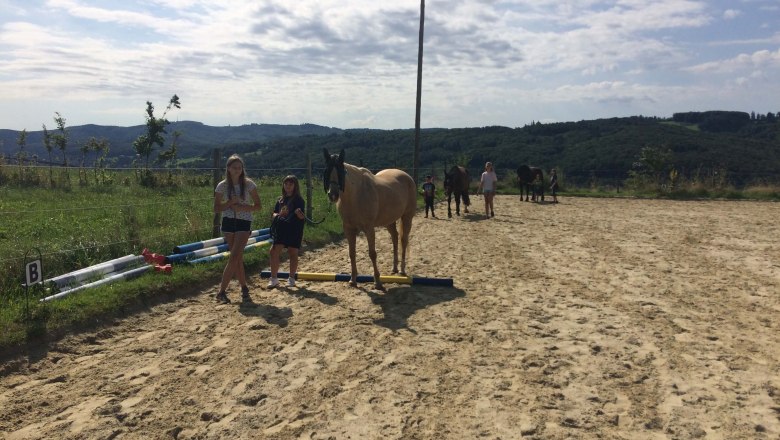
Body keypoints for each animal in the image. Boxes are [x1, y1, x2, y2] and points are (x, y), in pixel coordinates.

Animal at [323, 148, 417, 290]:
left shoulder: (369, 228)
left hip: (407, 217)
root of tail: (407, 177)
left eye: (341, 170)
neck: (356, 195)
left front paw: (377, 282)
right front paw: (353, 280)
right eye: (327, 170)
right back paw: (394, 268)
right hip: (389, 221)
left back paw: (401, 270)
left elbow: (372, 253)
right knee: (395, 238)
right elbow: (351, 253)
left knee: (403, 240)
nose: (333, 195)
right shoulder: (349, 229)